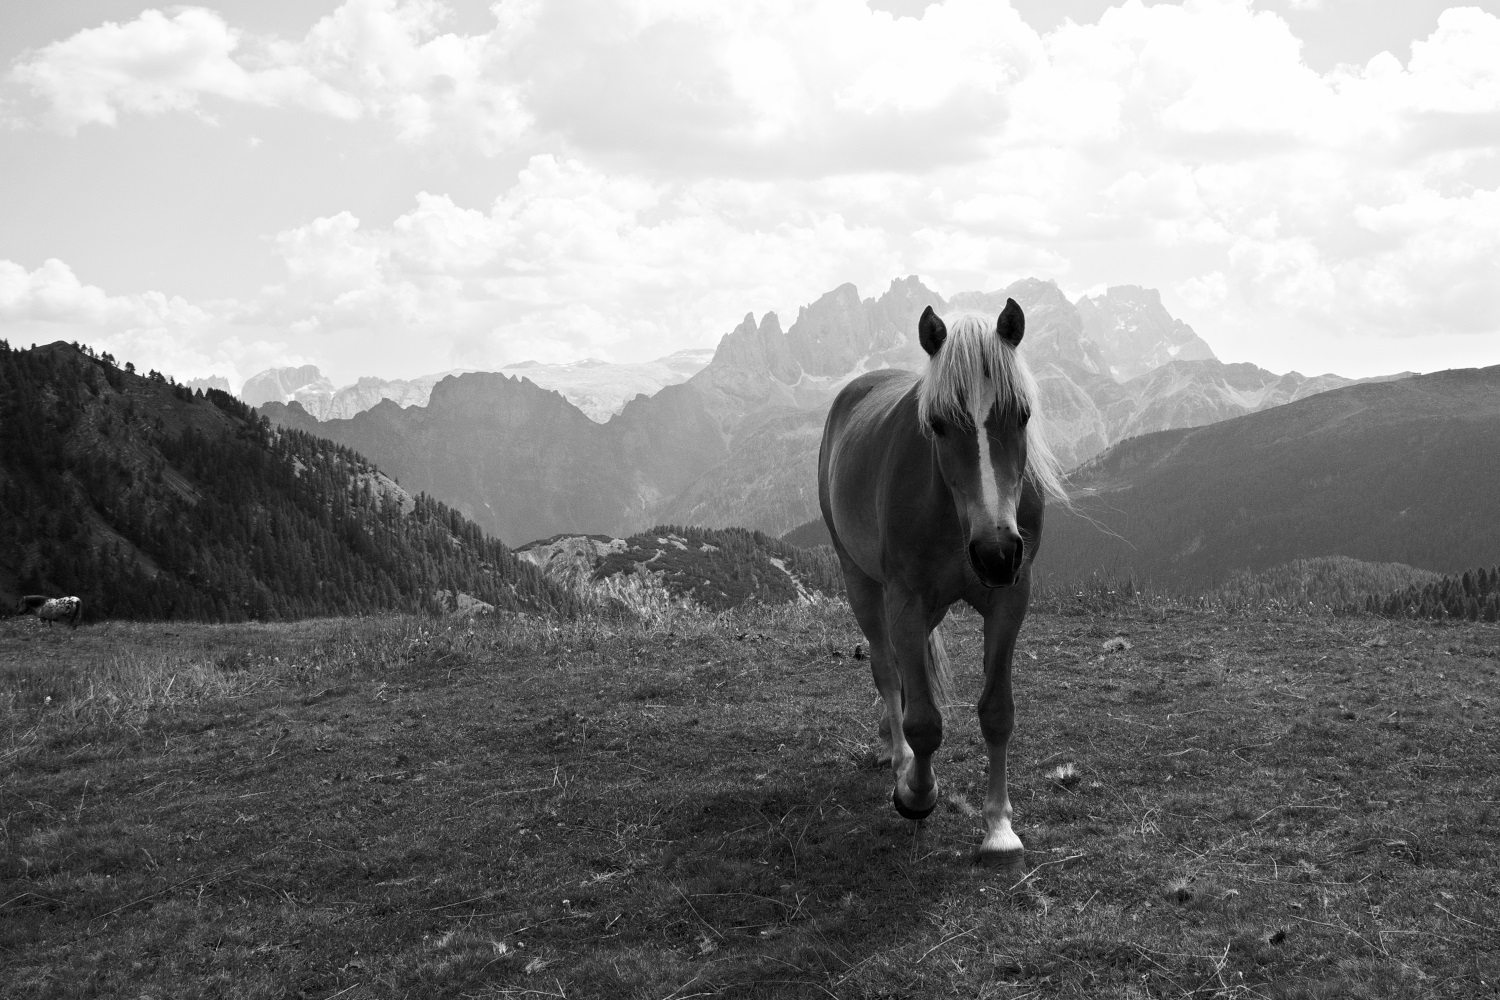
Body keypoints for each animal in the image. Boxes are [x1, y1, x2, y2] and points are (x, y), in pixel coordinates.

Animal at [818, 298, 1068, 863]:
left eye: (1022, 414)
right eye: (936, 423)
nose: (996, 553)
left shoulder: (1010, 600)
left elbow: (997, 712)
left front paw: (999, 827)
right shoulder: (905, 603)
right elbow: (924, 722)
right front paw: (916, 792)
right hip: (861, 583)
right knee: (887, 670)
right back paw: (897, 755)